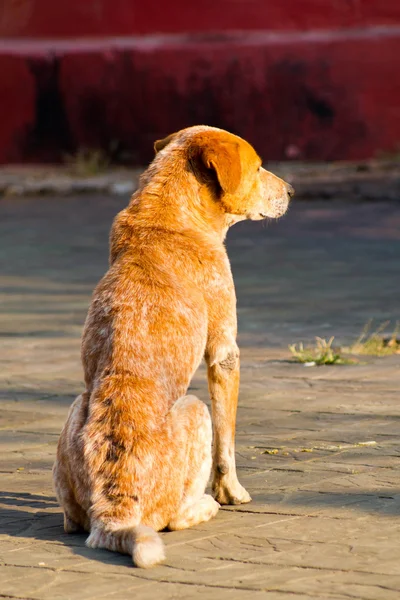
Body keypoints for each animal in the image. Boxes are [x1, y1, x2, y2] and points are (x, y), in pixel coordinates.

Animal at [52, 125, 294, 568]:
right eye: (257, 167)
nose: (292, 190)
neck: (166, 216)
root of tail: (114, 512)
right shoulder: (225, 353)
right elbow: (227, 443)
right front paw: (231, 493)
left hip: (78, 406)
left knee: (72, 520)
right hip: (195, 408)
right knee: (175, 517)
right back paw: (204, 505)